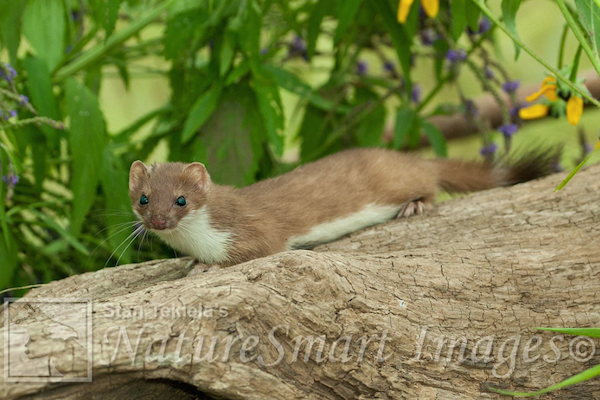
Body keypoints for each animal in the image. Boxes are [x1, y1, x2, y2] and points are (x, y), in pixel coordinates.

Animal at [129, 146, 556, 266]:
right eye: (144, 199)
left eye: (182, 199)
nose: (159, 220)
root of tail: (405, 157)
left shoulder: (254, 228)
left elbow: (261, 247)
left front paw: (202, 266)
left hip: (400, 180)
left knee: (430, 185)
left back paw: (414, 205)